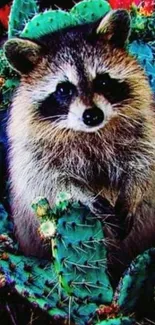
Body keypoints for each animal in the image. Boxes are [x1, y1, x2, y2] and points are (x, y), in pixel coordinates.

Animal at [3, 8, 155, 276]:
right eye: (64, 89)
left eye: (103, 81)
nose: (93, 116)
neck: (89, 132)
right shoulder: (31, 150)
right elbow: (48, 181)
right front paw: (83, 194)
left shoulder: (143, 125)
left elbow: (144, 164)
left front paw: (132, 193)